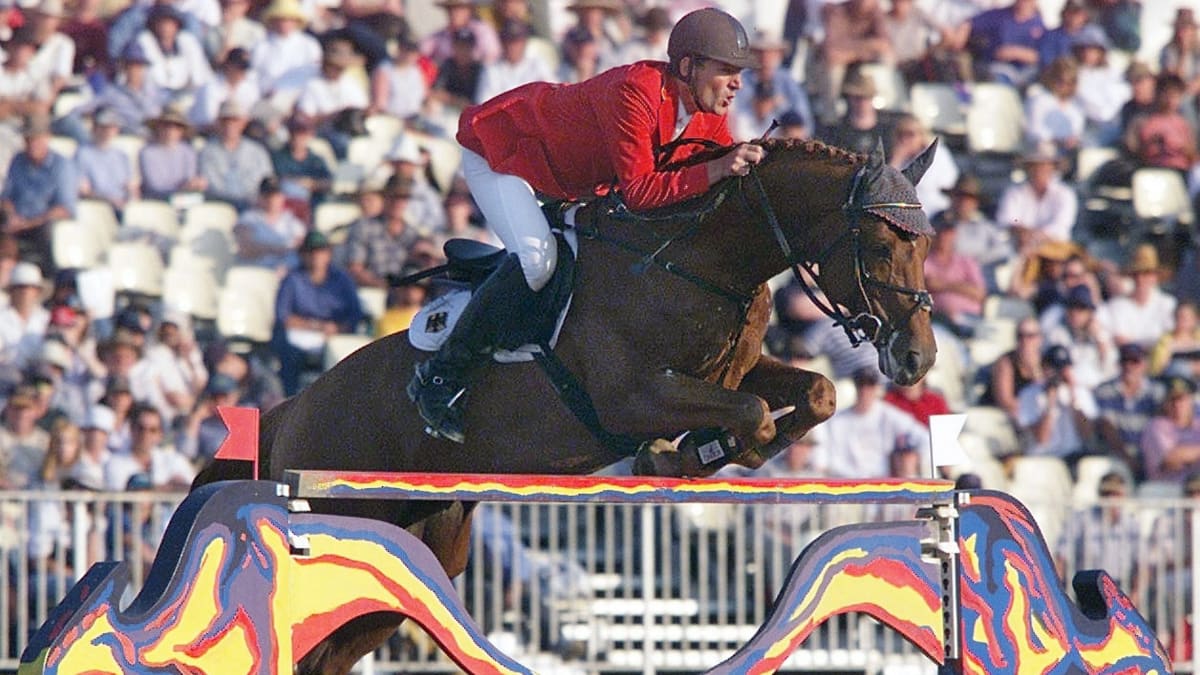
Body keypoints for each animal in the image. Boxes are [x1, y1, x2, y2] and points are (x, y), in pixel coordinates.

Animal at [194, 137, 939, 674]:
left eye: (926, 244)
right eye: (879, 248)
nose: (918, 359)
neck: (698, 260)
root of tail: (291, 408)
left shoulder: (732, 369)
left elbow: (813, 391)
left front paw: (700, 453)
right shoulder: (632, 397)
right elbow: (751, 411)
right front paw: (684, 454)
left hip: (413, 554)